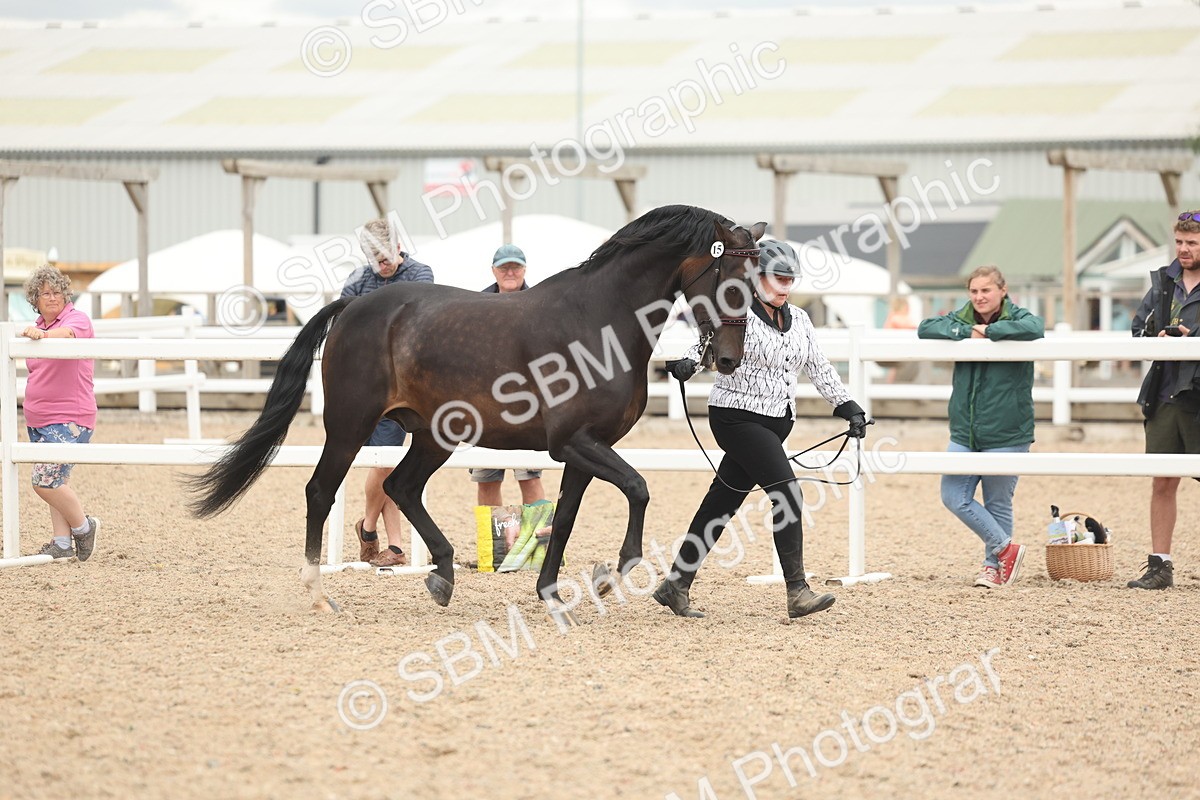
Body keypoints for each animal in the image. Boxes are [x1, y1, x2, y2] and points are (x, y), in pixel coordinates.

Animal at [188, 205, 766, 620]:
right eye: (731, 277)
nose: (728, 359)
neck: (600, 320)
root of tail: (353, 306)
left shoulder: (584, 448)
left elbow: (566, 516)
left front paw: (552, 593)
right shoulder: (574, 442)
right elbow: (639, 489)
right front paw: (609, 575)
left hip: (434, 435)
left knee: (401, 487)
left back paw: (442, 575)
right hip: (351, 427)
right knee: (321, 491)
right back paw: (319, 594)